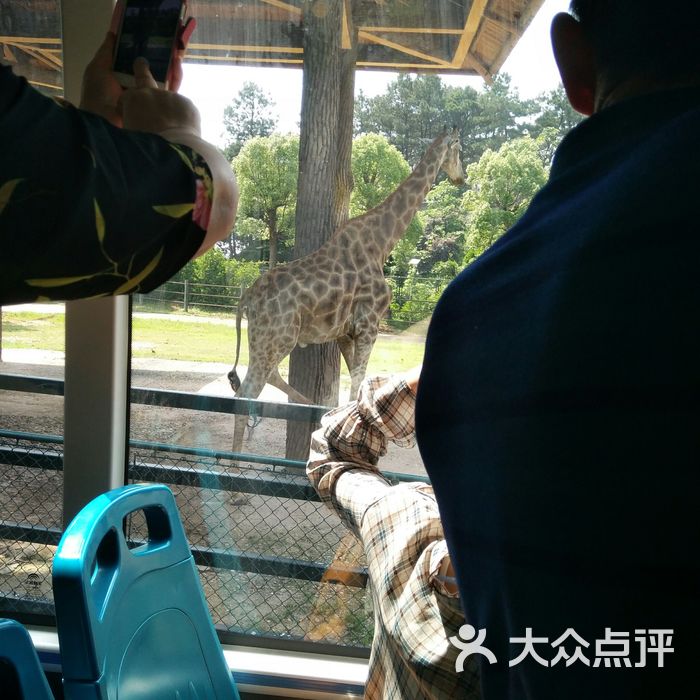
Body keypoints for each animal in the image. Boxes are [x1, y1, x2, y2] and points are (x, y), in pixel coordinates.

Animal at [226, 129, 464, 452]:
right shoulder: (369, 325)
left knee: (265, 379)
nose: (461, 177)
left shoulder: (344, 332)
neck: (381, 243)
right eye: (459, 149)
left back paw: (312, 407)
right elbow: (358, 385)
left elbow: (358, 386)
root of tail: (247, 297)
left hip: (265, 340)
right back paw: (234, 460)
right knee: (246, 393)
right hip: (277, 338)